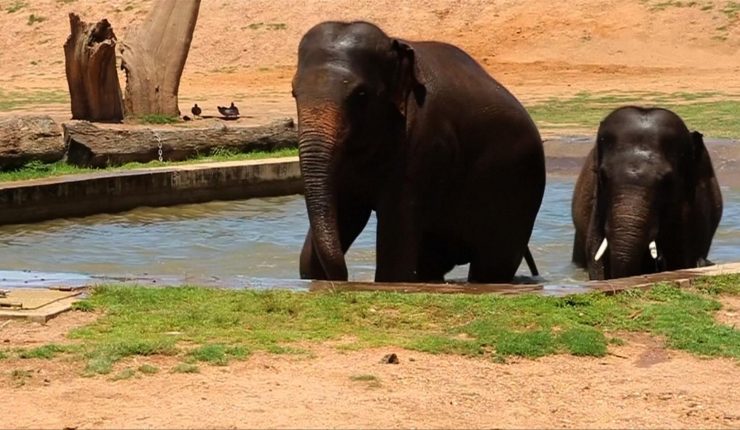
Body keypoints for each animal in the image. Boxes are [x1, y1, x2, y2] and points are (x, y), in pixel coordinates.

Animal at [294, 21, 544, 282]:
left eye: (360, 95)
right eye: (294, 93)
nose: (344, 277)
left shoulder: (425, 141)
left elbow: (395, 259)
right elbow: (344, 213)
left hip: (517, 188)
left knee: (492, 264)